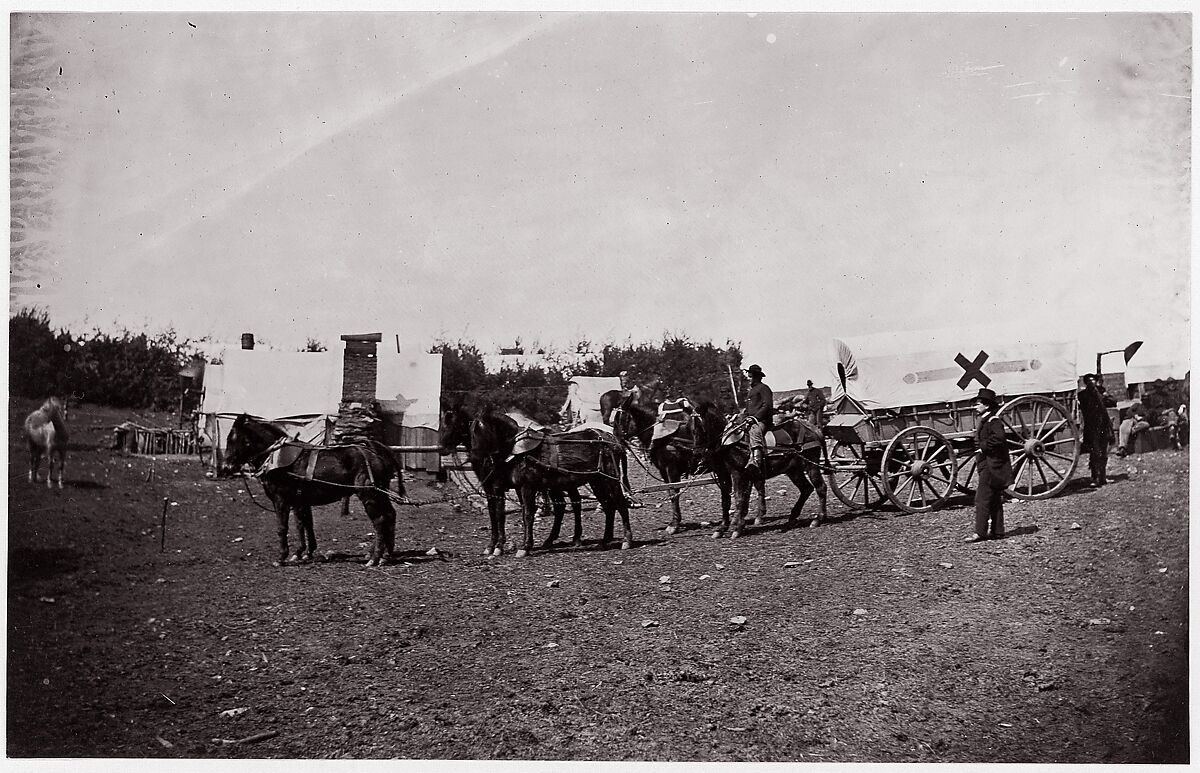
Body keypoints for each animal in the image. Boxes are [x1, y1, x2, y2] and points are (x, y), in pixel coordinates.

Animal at [217, 412, 403, 564]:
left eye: (235, 439)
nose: (226, 467)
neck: (278, 459)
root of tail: (376, 451)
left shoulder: (281, 500)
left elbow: (283, 527)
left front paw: (282, 556)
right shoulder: (300, 501)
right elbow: (304, 524)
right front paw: (303, 552)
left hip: (368, 494)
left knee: (379, 520)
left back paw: (375, 557)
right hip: (379, 493)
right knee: (389, 515)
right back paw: (385, 554)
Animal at [609, 396, 729, 535]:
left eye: (621, 420)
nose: (614, 445)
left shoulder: (672, 469)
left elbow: (673, 492)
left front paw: (674, 524)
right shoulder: (663, 470)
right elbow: (670, 492)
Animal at [700, 410, 830, 537]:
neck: (727, 442)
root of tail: (814, 429)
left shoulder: (738, 474)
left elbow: (739, 498)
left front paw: (738, 528)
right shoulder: (723, 474)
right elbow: (726, 501)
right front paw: (722, 528)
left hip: (811, 465)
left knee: (820, 487)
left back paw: (818, 519)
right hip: (793, 470)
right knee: (806, 488)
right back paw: (793, 517)